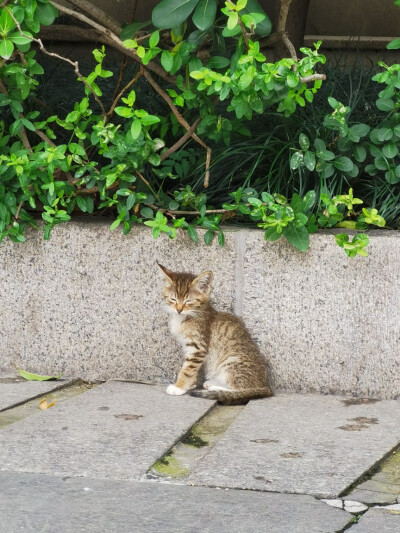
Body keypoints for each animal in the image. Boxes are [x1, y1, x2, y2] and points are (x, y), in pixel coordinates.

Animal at [156, 262, 272, 404]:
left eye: (188, 301)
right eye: (173, 299)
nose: (179, 309)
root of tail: (265, 385)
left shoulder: (198, 347)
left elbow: (188, 369)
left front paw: (179, 387)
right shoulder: (190, 348)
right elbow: (191, 367)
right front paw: (190, 384)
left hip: (231, 360)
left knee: (241, 390)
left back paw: (215, 388)